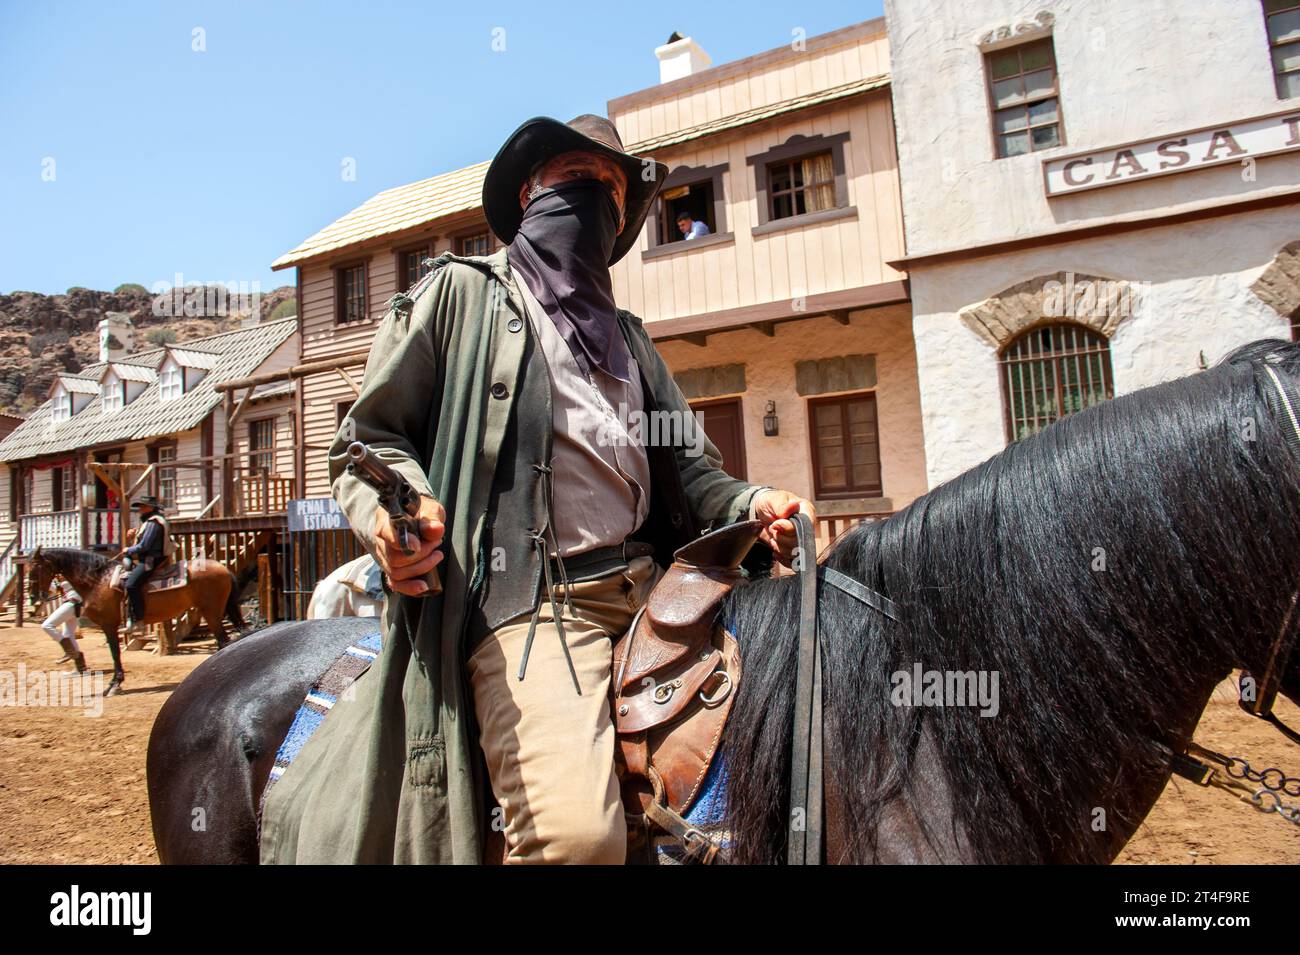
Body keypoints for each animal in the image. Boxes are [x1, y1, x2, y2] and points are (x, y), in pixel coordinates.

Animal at [27, 548, 245, 696]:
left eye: (35, 569)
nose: (33, 598)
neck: (97, 581)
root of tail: (224, 569)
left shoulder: (109, 624)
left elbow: (115, 652)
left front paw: (114, 684)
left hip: (212, 612)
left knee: (223, 641)